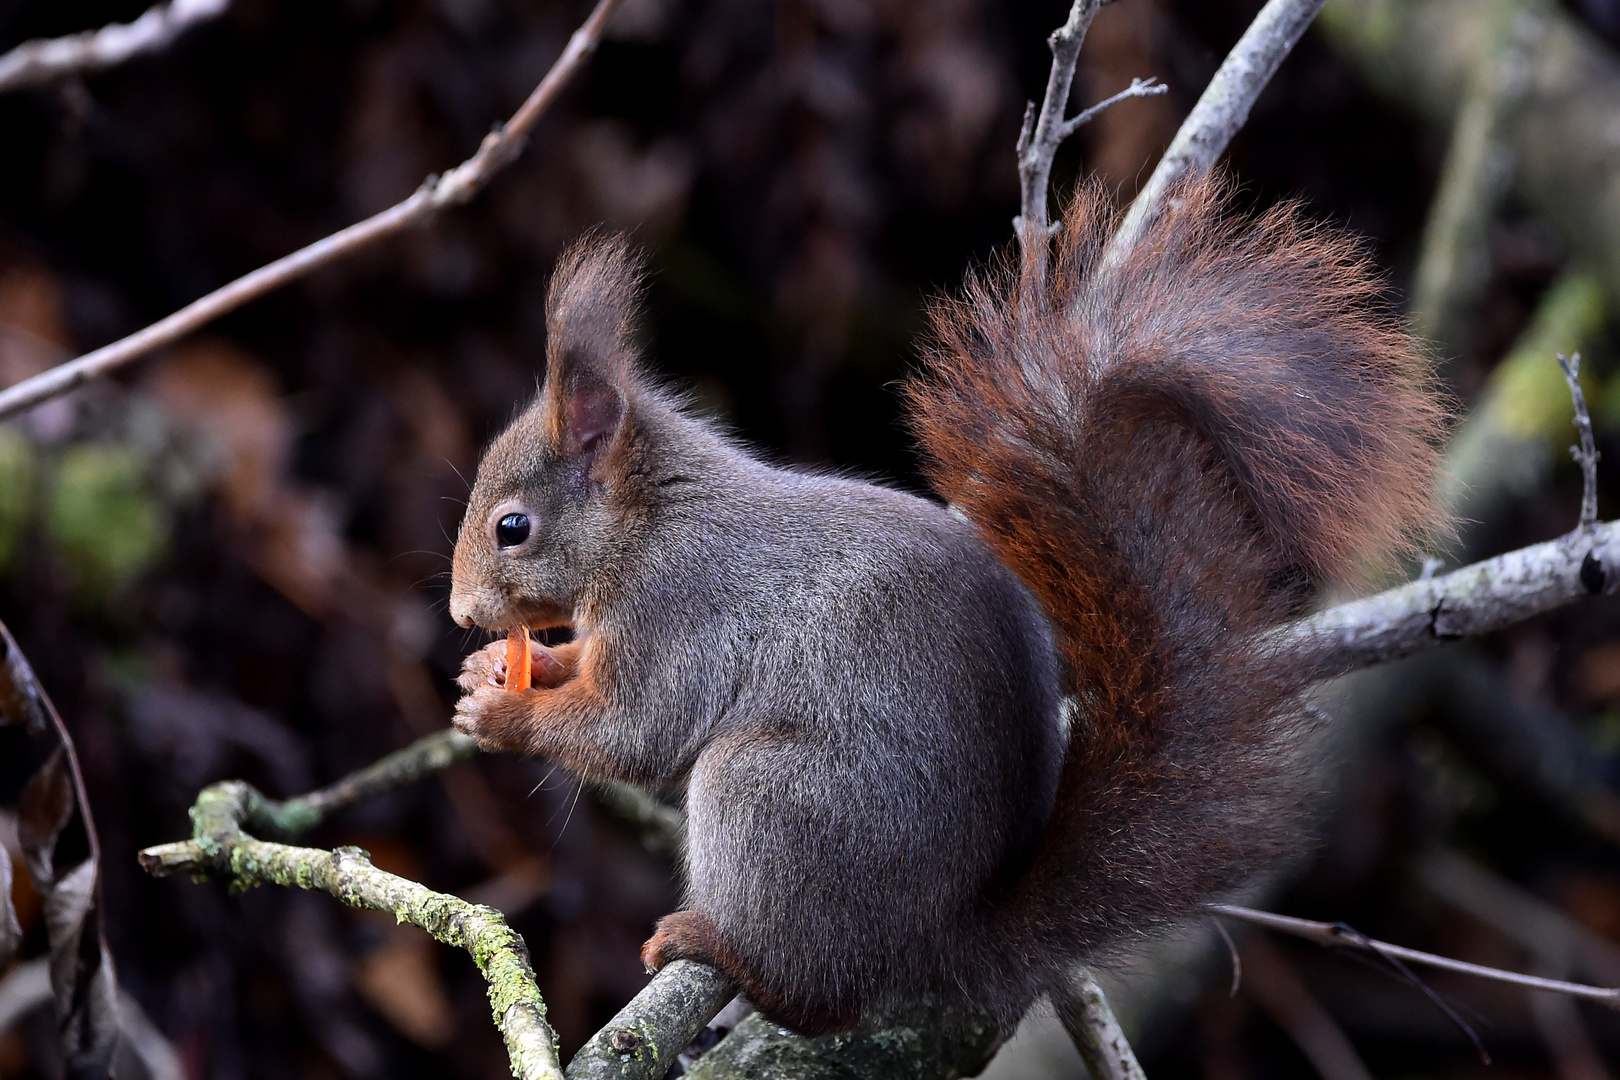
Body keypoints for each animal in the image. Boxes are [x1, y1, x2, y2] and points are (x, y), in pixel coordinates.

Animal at [447, 177, 1445, 1036]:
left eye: (512, 527)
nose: (459, 613)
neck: (648, 522)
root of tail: (940, 937)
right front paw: (499, 668)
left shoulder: (679, 609)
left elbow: (634, 731)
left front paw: (506, 714)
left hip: (775, 801)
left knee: (823, 998)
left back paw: (724, 950)